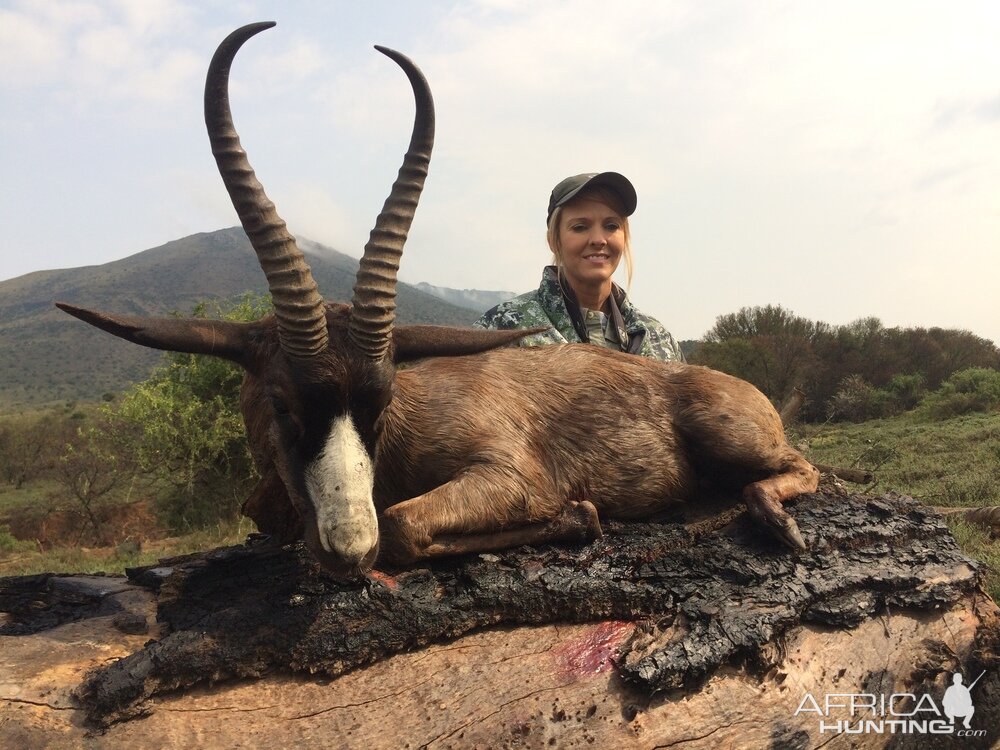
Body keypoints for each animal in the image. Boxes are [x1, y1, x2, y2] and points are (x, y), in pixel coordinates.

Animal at [56, 20, 820, 580]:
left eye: (383, 401)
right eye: (280, 401)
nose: (348, 549)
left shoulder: (505, 475)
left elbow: (402, 524)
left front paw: (580, 516)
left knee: (801, 468)